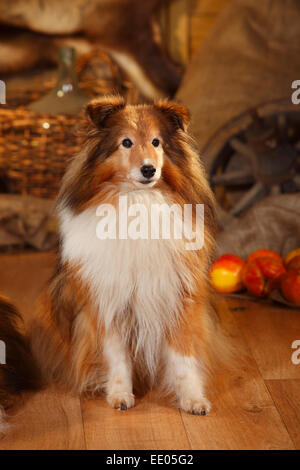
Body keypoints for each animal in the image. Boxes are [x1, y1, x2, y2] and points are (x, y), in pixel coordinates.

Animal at [0, 97, 225, 432]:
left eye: (156, 142)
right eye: (126, 142)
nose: (149, 169)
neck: (137, 200)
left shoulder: (178, 297)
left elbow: (183, 355)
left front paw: (193, 400)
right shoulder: (107, 300)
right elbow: (117, 355)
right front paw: (120, 395)